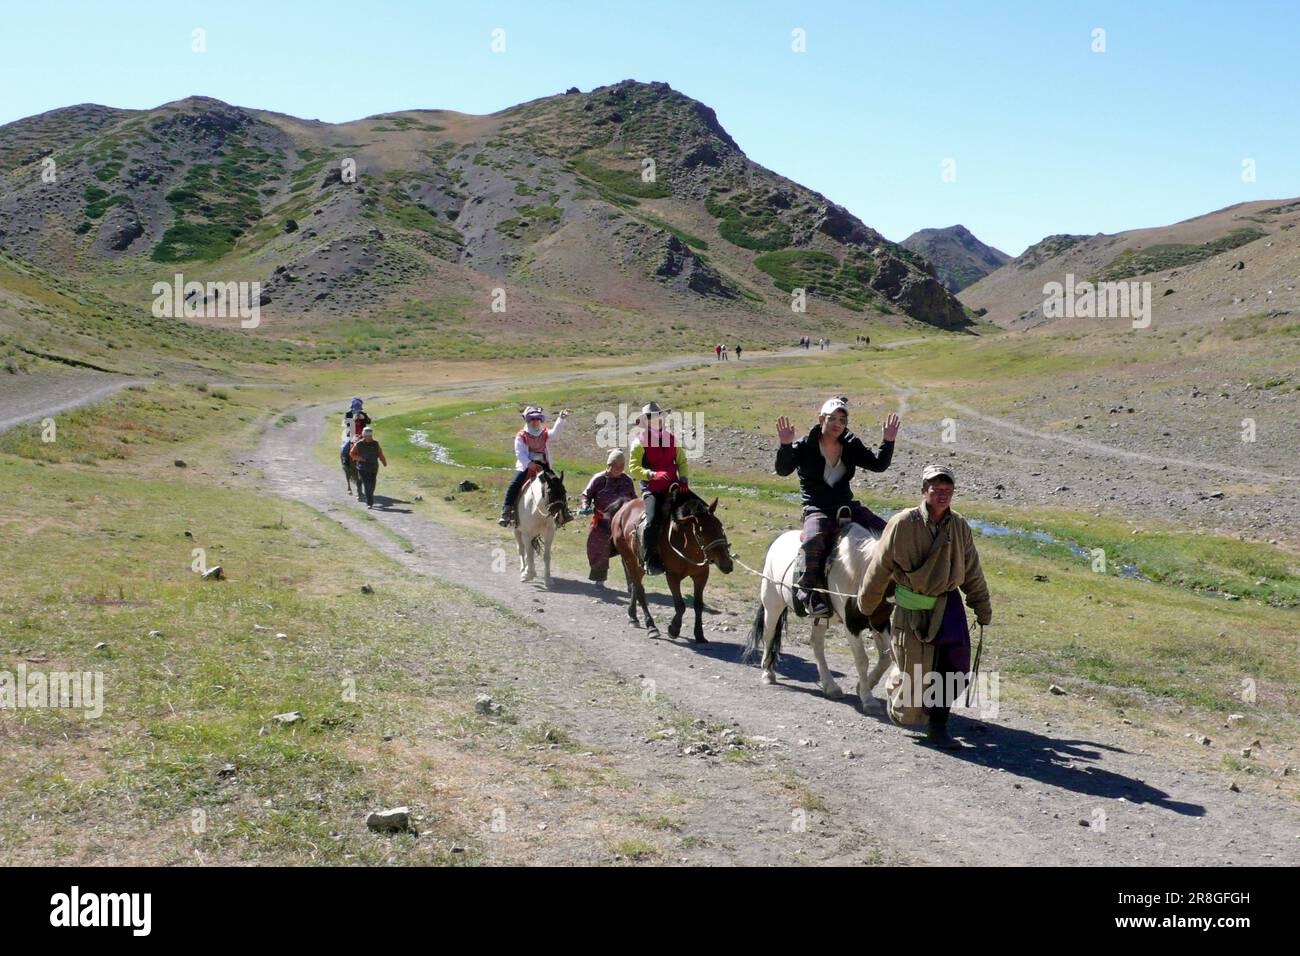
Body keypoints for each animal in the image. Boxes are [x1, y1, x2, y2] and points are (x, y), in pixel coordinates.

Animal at [608, 486, 733, 642]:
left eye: (720, 526)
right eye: (700, 533)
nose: (726, 564)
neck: (684, 543)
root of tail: (624, 508)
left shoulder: (701, 575)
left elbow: (698, 605)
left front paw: (699, 634)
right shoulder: (673, 576)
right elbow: (680, 606)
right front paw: (673, 629)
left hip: (637, 565)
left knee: (635, 587)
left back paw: (633, 617)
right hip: (630, 561)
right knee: (640, 591)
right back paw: (651, 626)